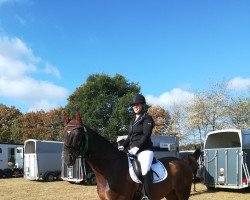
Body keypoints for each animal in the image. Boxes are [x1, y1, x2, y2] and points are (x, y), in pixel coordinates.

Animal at [63, 112, 200, 200]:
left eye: (78, 133)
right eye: (64, 133)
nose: (67, 159)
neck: (110, 168)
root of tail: (182, 162)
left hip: (182, 193)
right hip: (171, 194)